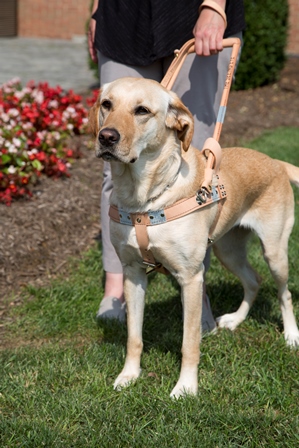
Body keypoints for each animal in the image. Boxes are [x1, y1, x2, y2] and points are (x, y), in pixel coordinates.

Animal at [90, 77, 299, 400]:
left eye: (142, 110)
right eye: (106, 104)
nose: (106, 137)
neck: (144, 201)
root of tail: (275, 161)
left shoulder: (190, 278)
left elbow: (189, 342)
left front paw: (186, 387)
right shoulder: (132, 273)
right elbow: (134, 337)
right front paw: (129, 376)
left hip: (274, 252)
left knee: (283, 293)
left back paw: (291, 335)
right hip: (228, 251)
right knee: (253, 281)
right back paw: (235, 320)